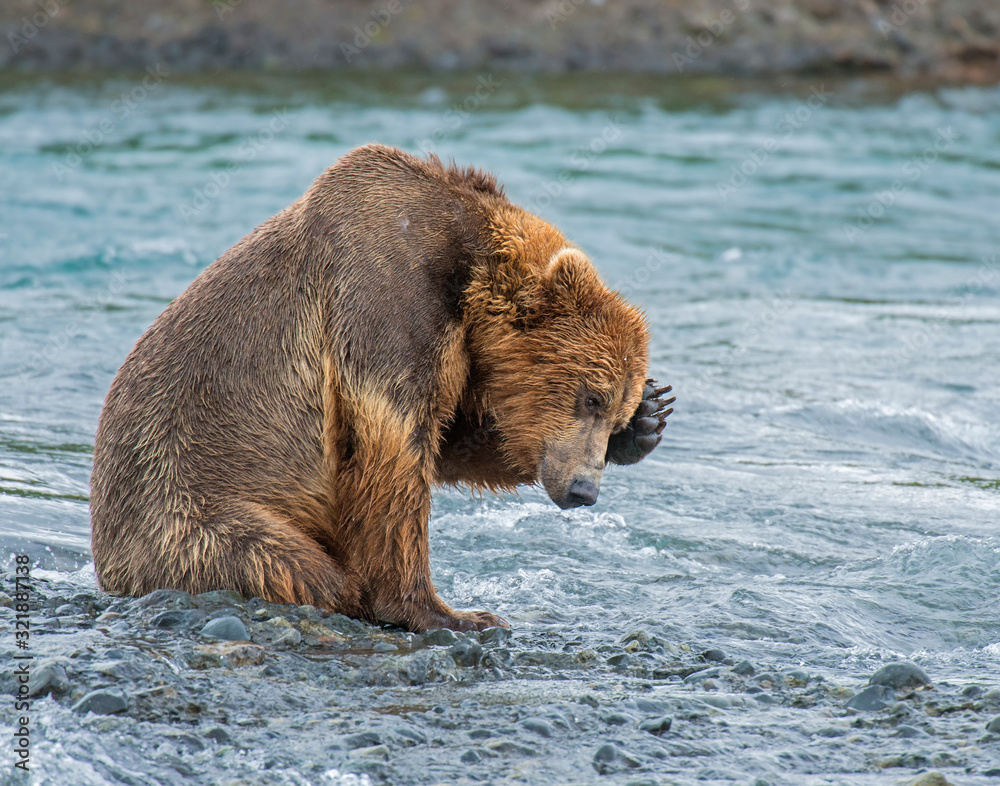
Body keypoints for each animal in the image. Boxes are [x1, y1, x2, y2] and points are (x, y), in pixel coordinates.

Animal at [90, 144, 674, 633]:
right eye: (590, 396)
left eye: (613, 410)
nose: (584, 490)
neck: (464, 272)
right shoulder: (383, 304)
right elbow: (395, 455)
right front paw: (454, 612)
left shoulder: (455, 353)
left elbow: (449, 438)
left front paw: (649, 417)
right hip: (193, 507)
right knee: (280, 561)